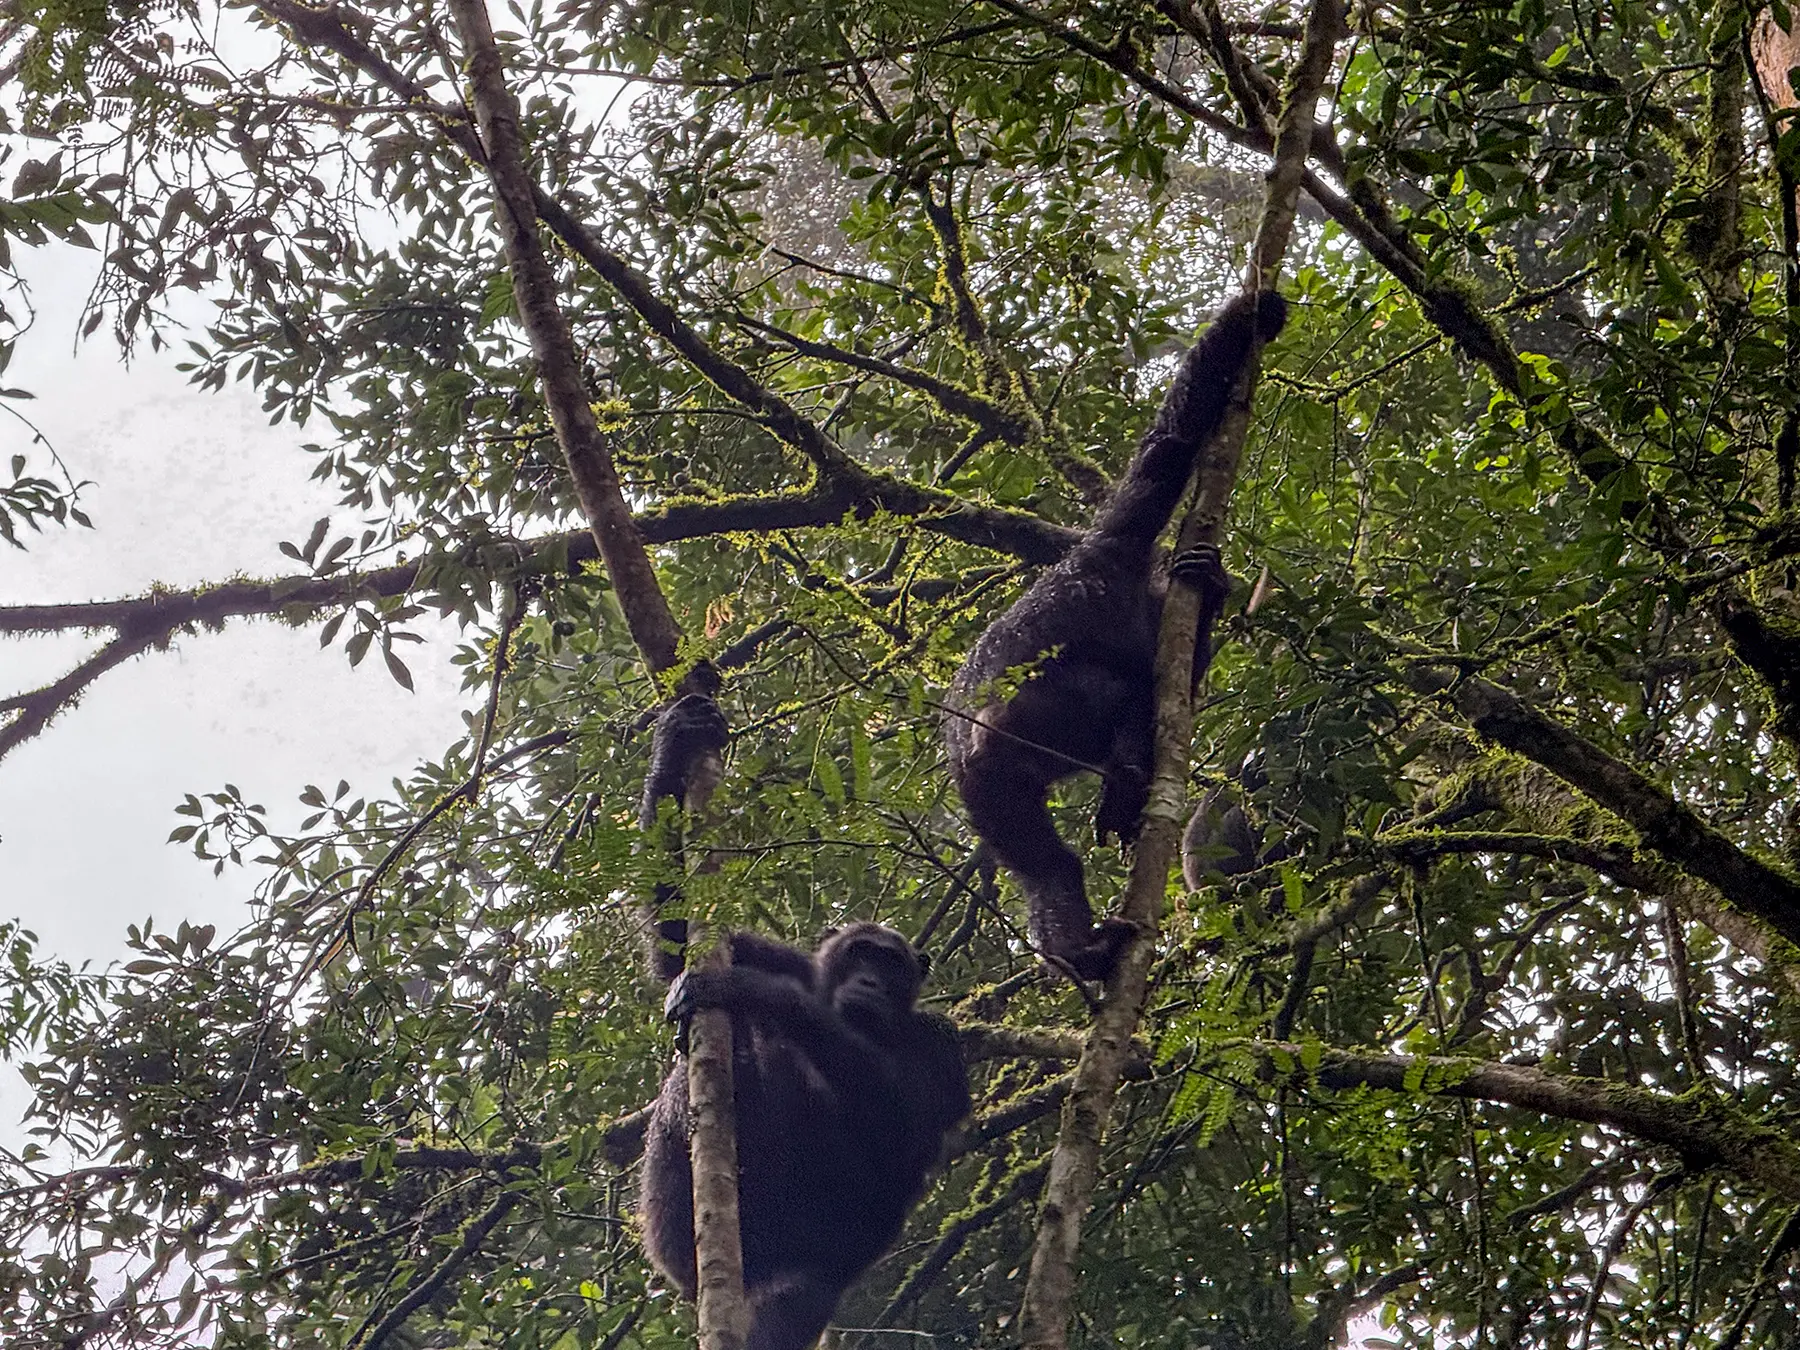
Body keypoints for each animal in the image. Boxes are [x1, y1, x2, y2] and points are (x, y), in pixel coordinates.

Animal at [640, 923, 971, 1350]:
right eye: (860, 953)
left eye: (891, 964)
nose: (869, 981)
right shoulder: (787, 961)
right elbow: (677, 948)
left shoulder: (940, 1040)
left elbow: (908, 1118)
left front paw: (757, 990)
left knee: (796, 1294)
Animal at [944, 289, 1288, 981]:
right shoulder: (1116, 546)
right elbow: (1169, 444)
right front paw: (1251, 313)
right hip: (1026, 723)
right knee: (1112, 695)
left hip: (992, 788)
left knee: (1042, 859)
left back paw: (1081, 945)